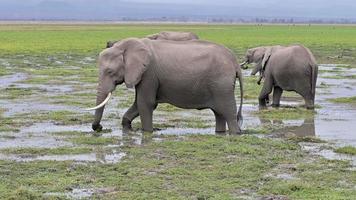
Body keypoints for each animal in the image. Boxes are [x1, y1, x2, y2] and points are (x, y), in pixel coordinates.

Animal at [88, 37, 245, 134]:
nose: (99, 127)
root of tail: (235, 62)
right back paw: (220, 133)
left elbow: (146, 103)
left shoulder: (148, 73)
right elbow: (138, 103)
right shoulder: (143, 75)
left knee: (228, 112)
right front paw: (128, 128)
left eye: (110, 71)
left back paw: (235, 133)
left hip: (221, 85)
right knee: (219, 113)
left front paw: (147, 132)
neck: (126, 45)